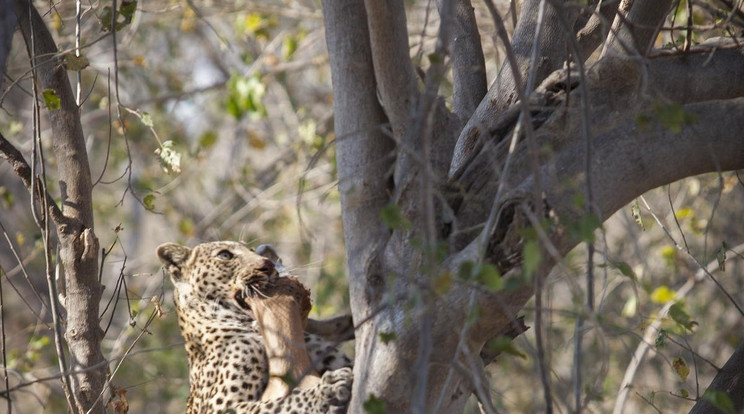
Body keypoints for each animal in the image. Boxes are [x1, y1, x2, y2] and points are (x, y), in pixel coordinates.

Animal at [156, 241, 352, 414]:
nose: (268, 264)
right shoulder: (219, 406)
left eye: (251, 250)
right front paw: (326, 391)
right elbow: (277, 404)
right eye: (225, 255)